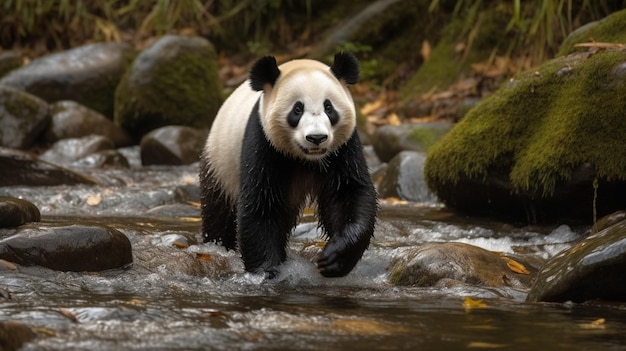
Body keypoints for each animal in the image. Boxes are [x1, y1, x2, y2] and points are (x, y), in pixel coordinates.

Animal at [199, 53, 376, 278]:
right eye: (297, 109)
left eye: (329, 108)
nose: (316, 138)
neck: (307, 159)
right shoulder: (264, 142)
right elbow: (260, 205)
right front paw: (268, 271)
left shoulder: (343, 147)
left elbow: (348, 193)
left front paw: (335, 258)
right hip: (221, 161)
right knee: (218, 211)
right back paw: (217, 245)